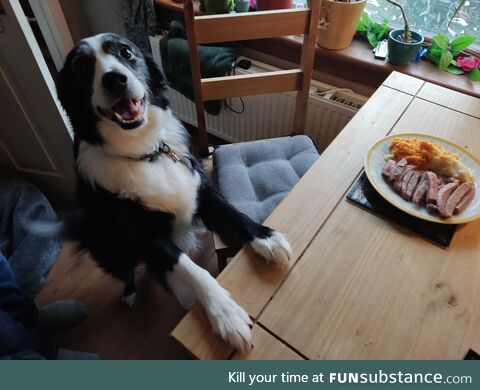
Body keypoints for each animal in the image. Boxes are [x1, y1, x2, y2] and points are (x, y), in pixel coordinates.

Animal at [54, 32, 290, 350]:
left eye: (126, 53)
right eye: (82, 68)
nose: (115, 79)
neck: (145, 153)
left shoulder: (201, 190)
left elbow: (234, 214)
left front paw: (267, 238)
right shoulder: (145, 233)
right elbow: (191, 268)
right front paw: (225, 313)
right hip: (110, 247)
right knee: (125, 270)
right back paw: (130, 293)